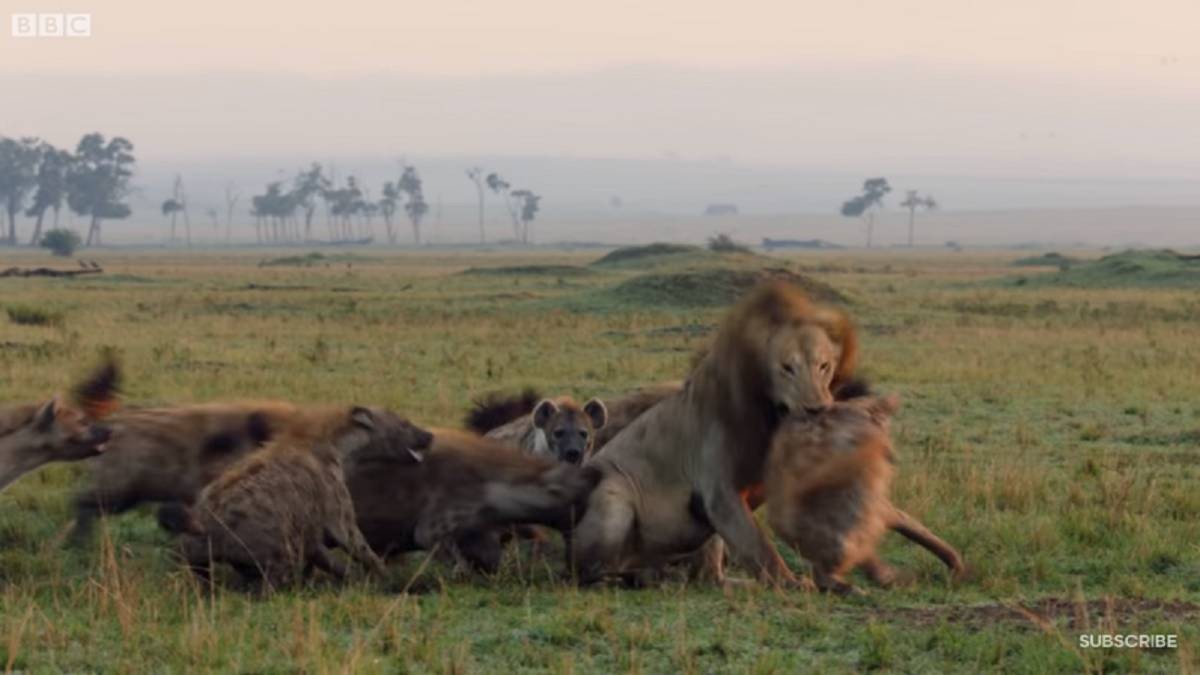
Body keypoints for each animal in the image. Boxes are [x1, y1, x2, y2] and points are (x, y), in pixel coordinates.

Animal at [570, 282, 858, 586]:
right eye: (787, 368)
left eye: (824, 366)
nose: (817, 409)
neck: (771, 419)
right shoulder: (719, 491)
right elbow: (758, 545)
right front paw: (791, 583)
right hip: (614, 495)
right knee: (586, 570)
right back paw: (639, 577)